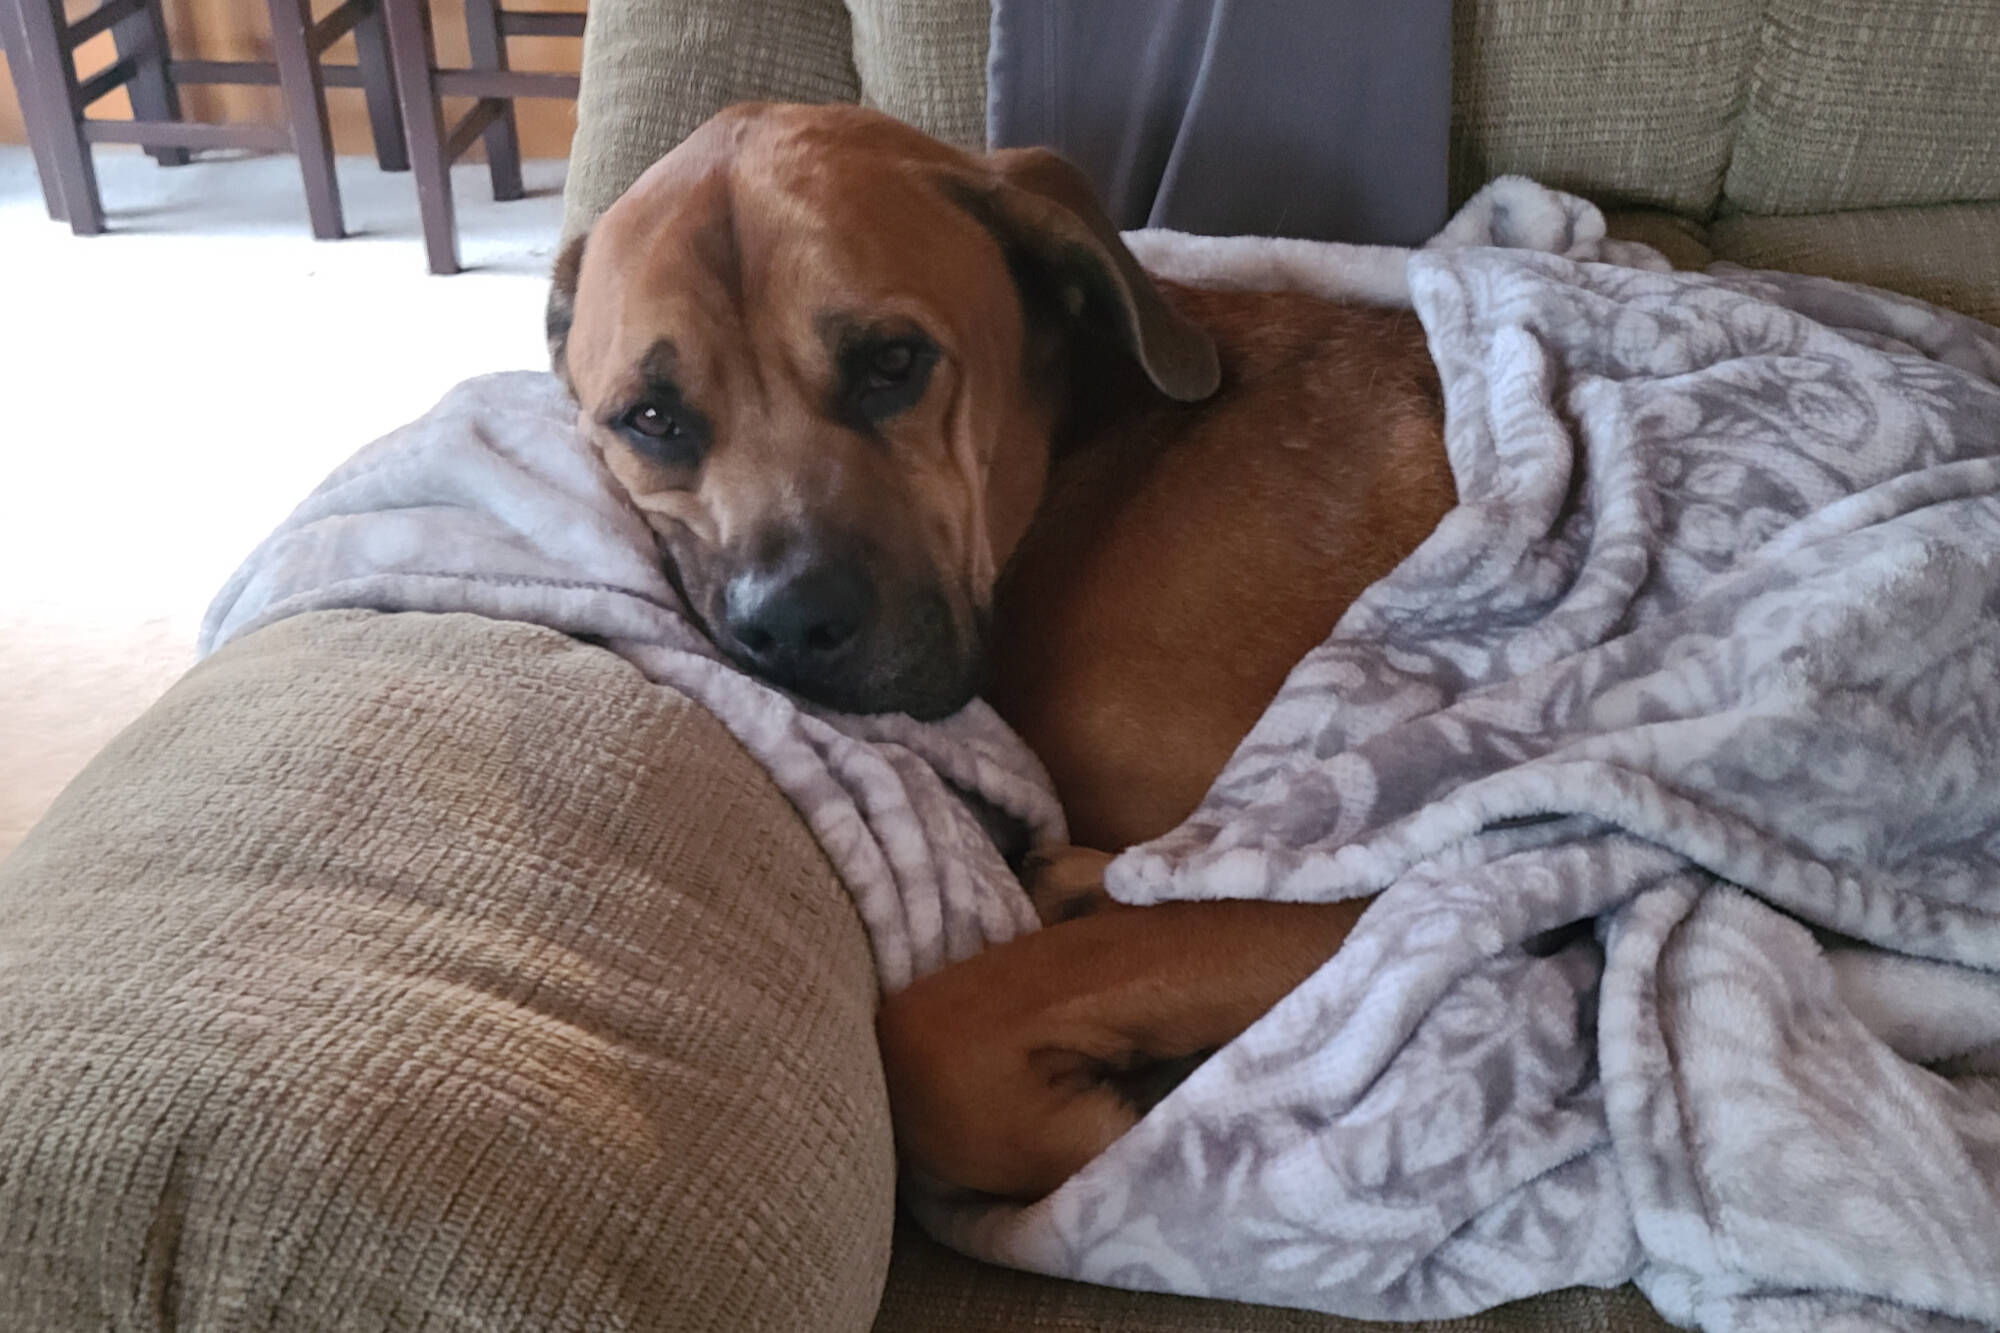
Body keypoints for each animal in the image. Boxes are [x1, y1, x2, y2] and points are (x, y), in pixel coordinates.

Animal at [548, 104, 1456, 1192]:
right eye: (653, 419)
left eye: (892, 363)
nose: (790, 626)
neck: (1079, 470)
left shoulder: (1355, 866)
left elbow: (931, 1040)